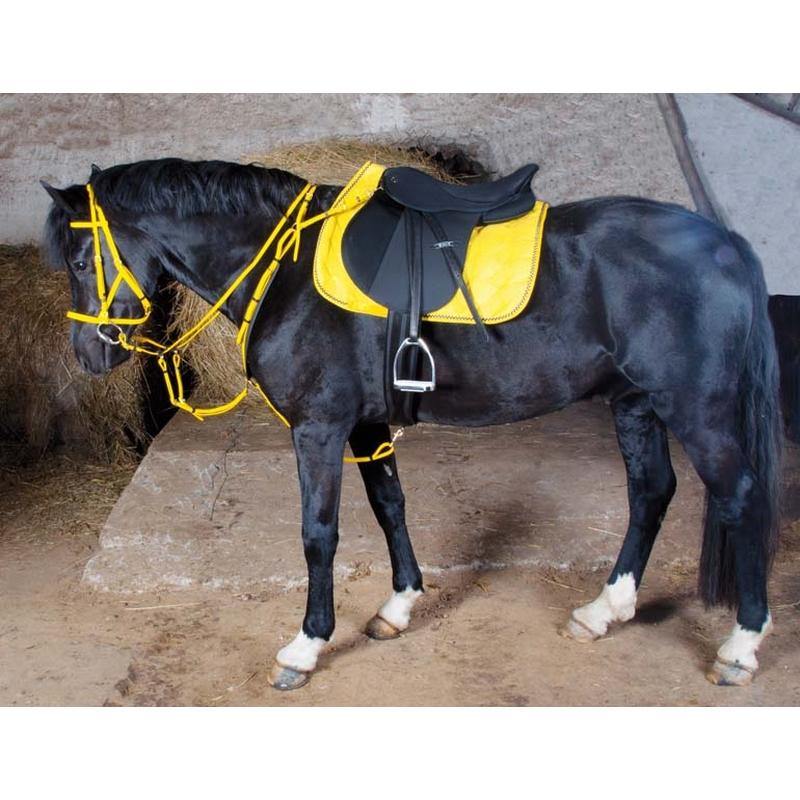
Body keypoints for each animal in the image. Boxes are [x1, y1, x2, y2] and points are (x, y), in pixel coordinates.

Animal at [41, 157, 782, 691]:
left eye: (80, 261)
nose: (89, 355)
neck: (288, 269)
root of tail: (725, 243)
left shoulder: (318, 428)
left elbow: (318, 535)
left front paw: (306, 645)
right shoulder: (367, 426)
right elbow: (389, 506)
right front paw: (398, 606)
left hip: (696, 409)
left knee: (742, 499)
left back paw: (741, 643)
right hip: (635, 404)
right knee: (651, 492)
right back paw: (604, 611)